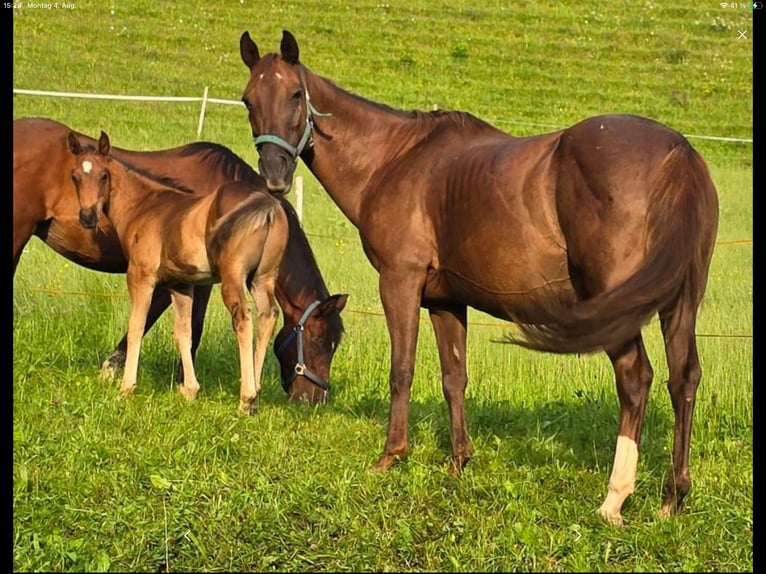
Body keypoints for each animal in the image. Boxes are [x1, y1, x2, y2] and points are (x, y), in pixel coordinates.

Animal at [13, 117, 347, 405]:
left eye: (335, 345)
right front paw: (145, 378)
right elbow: (170, 327)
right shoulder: (174, 279)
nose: (314, 400)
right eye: (318, 341)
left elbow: (175, 328)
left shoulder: (179, 280)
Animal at [239, 30, 720, 524]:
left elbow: (402, 369)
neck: (393, 160)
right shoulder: (446, 301)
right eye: (248, 100)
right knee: (683, 379)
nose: (274, 175)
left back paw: (614, 498)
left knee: (636, 379)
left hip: (619, 309)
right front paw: (458, 462)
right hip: (679, 305)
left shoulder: (400, 282)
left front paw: (390, 456)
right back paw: (672, 497)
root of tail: (678, 154)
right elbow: (454, 377)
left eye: (296, 95)